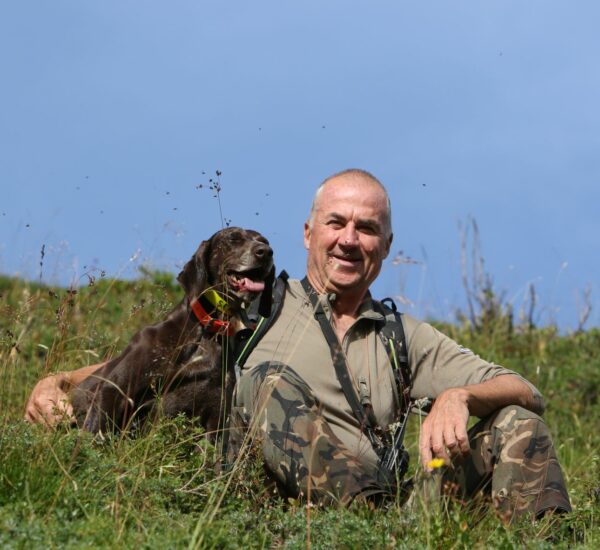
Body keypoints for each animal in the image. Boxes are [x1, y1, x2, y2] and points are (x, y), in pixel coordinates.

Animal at [70, 227, 274, 436]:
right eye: (233, 238)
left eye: (264, 241)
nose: (265, 252)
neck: (206, 332)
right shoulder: (112, 390)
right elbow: (95, 433)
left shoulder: (216, 417)